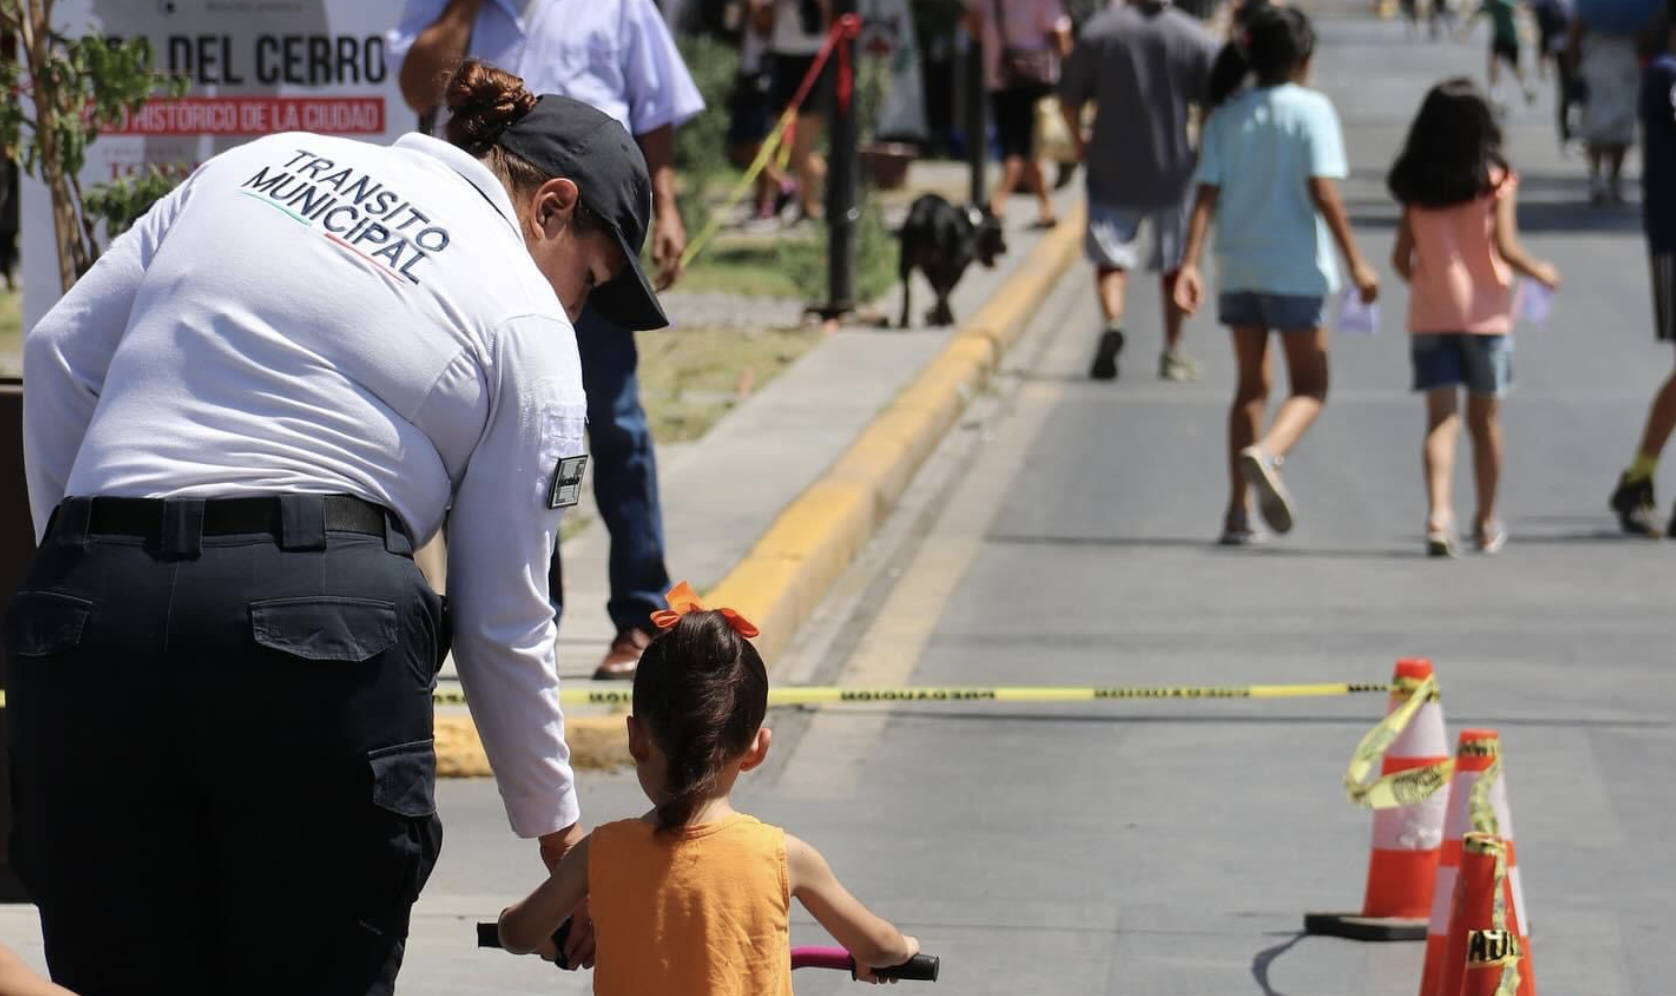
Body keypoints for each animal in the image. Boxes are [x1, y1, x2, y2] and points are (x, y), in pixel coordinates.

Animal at [898, 193, 998, 330]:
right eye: (1000, 232)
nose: (1006, 247)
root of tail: (922, 217)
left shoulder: (931, 268)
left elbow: (940, 292)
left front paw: (937, 316)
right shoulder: (957, 267)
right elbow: (946, 291)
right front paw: (943, 317)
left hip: (910, 261)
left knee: (907, 291)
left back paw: (906, 320)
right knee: (938, 291)